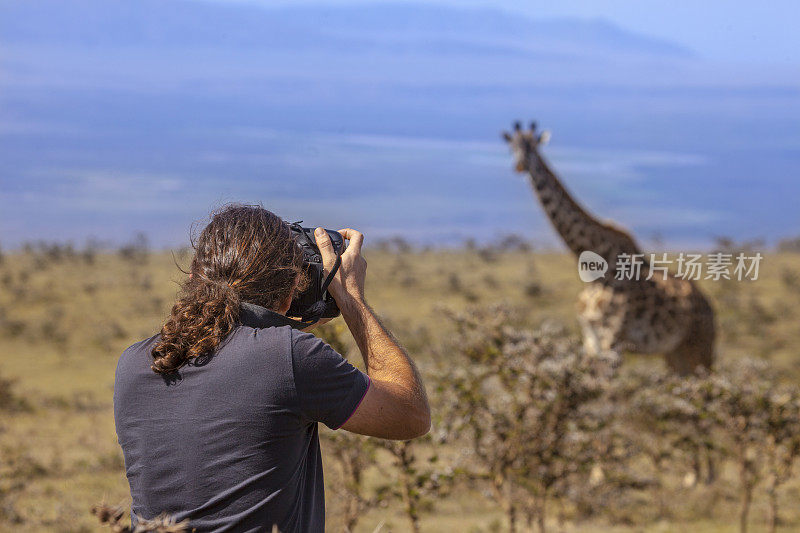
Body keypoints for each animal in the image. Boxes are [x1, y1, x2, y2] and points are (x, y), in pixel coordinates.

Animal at [504, 119, 716, 374]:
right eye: (512, 147)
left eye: (533, 148)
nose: (519, 165)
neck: (598, 268)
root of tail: (710, 309)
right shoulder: (590, 337)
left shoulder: (612, 340)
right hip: (674, 353)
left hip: (699, 349)